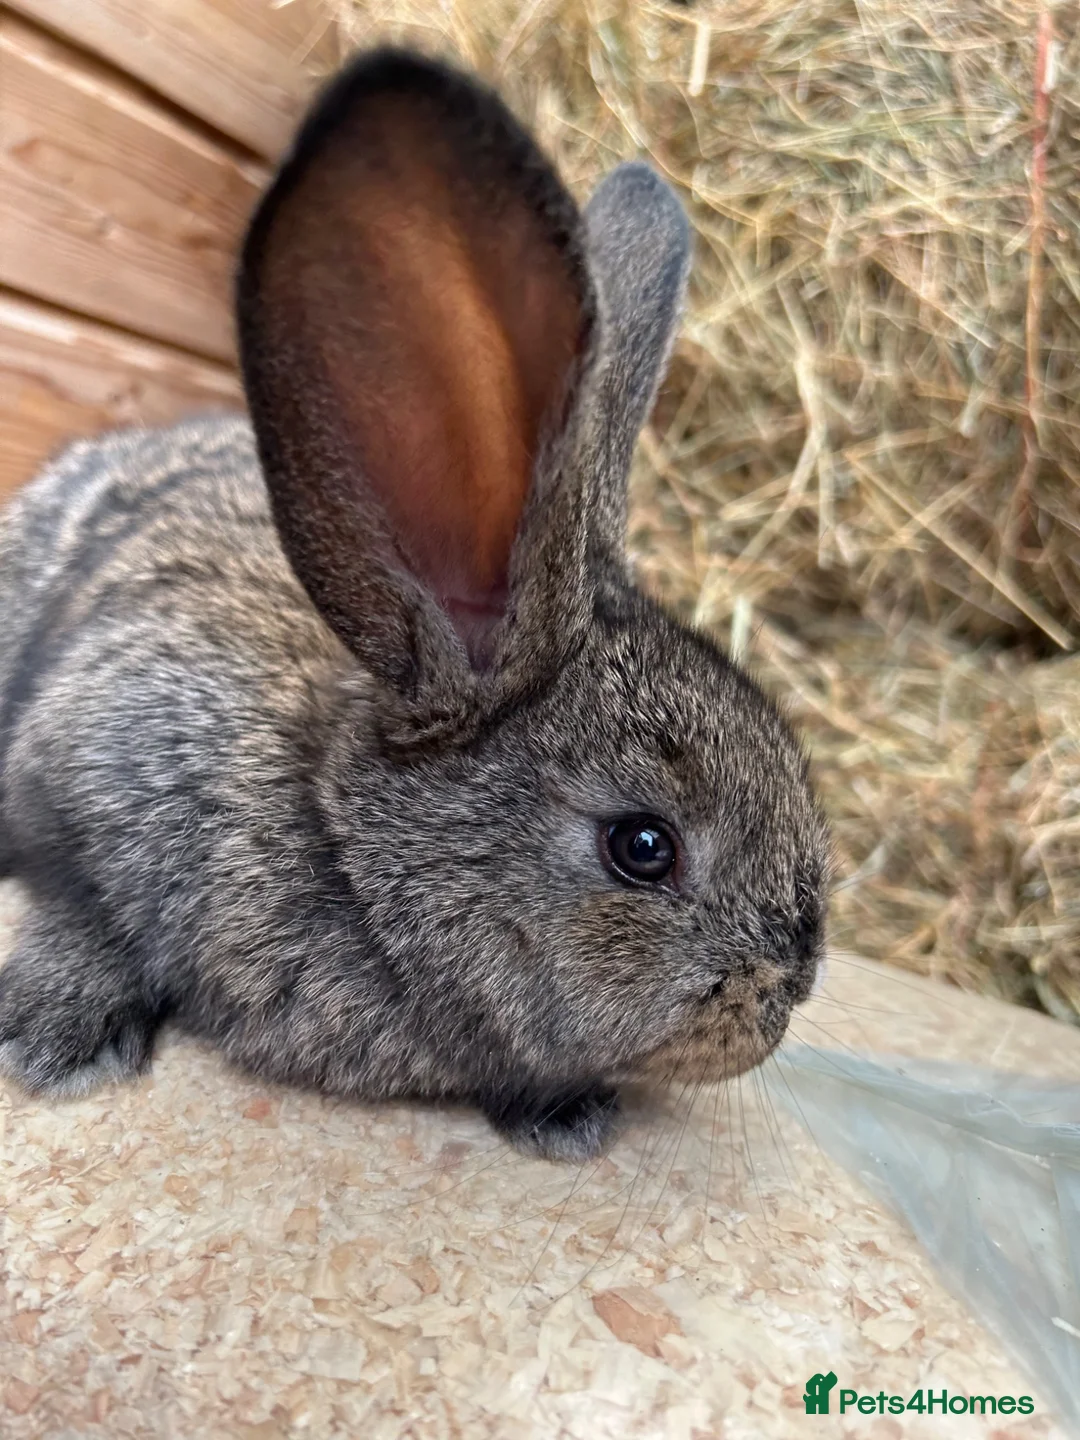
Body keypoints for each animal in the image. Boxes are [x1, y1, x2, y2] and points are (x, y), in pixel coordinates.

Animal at [0, 47, 829, 1162]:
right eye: (643, 847)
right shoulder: (83, 760)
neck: (339, 837)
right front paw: (58, 1033)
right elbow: (76, 899)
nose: (794, 980)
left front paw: (564, 1117)